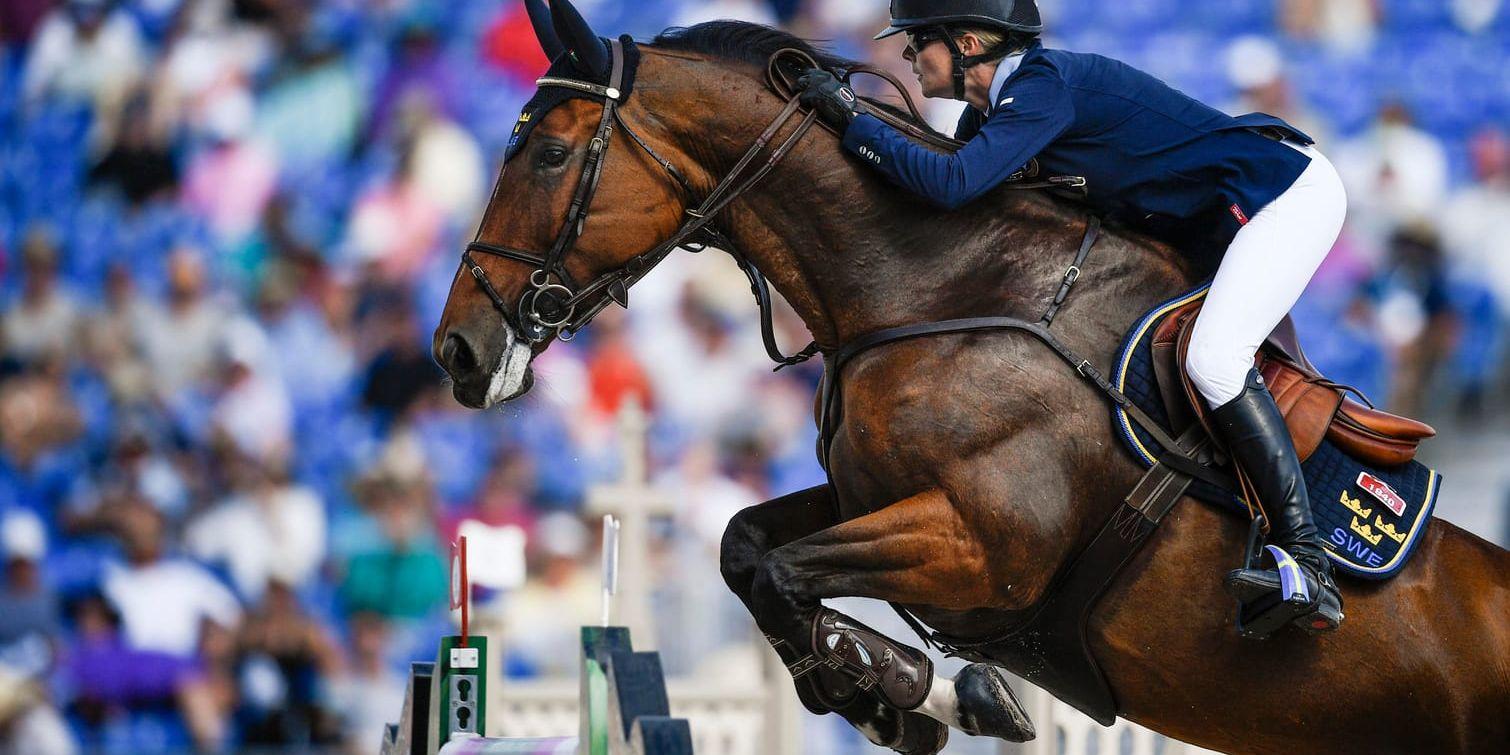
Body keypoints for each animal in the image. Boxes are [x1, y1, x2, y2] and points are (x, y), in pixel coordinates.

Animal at [431, 7, 1503, 755]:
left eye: (551, 151)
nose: (457, 352)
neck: (930, 284)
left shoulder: (981, 550)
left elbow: (784, 574)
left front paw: (912, 689)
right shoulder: (874, 495)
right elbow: (746, 549)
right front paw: (907, 696)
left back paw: (1298, 579)